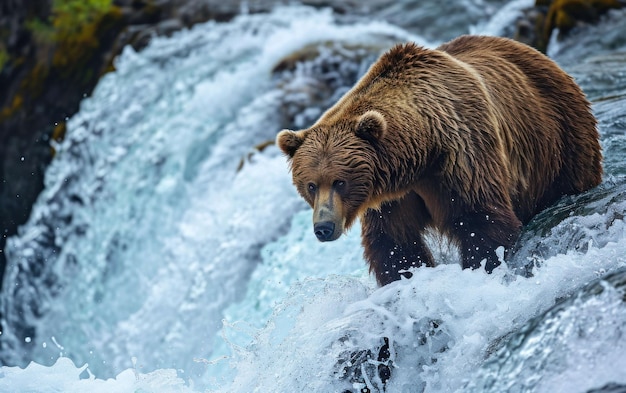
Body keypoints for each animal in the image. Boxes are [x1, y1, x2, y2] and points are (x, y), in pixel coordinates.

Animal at [274, 35, 600, 284]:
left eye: (340, 181)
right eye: (311, 185)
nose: (323, 227)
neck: (420, 152)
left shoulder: (462, 157)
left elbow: (481, 220)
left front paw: (481, 267)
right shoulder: (392, 198)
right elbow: (394, 243)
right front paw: (405, 277)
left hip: (559, 137)